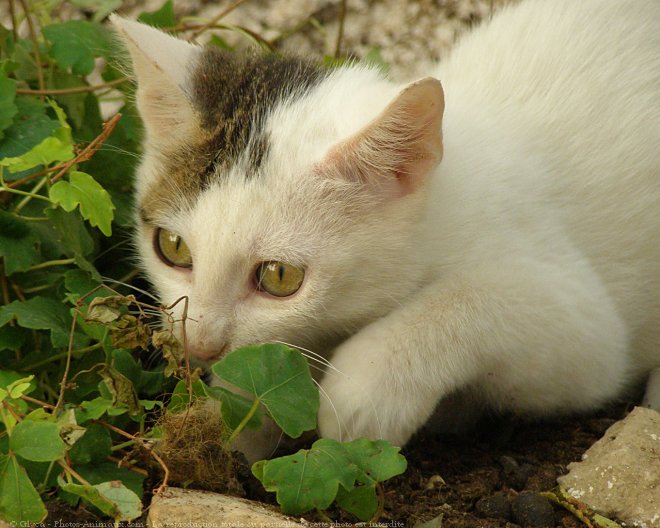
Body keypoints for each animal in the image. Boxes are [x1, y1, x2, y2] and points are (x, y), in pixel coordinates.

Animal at [112, 0, 660, 460]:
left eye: (279, 277)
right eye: (173, 248)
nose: (200, 346)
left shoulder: (589, 331)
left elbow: (481, 298)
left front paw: (363, 391)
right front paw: (220, 420)